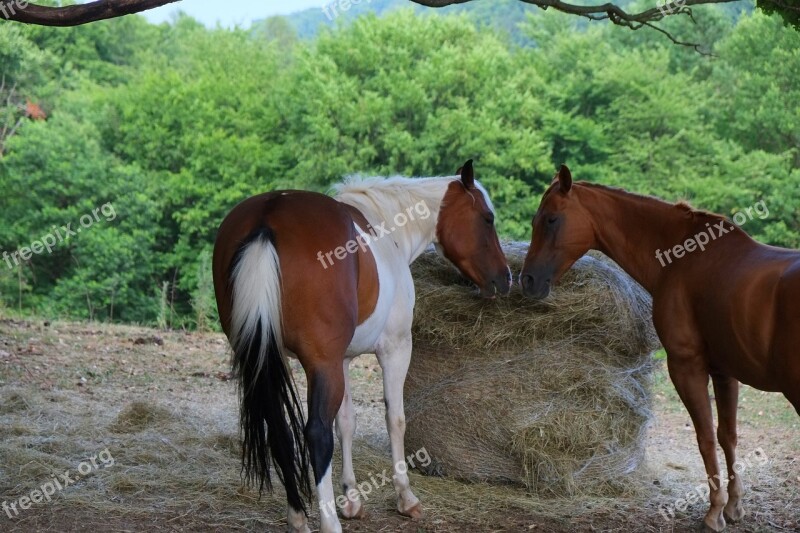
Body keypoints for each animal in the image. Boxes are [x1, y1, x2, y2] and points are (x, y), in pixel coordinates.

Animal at [212, 161, 510, 532]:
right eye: (487, 218)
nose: (505, 278)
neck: (388, 228)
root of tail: (268, 219)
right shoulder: (394, 349)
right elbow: (395, 419)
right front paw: (405, 498)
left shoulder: (341, 360)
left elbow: (347, 422)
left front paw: (352, 499)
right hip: (319, 364)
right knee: (316, 434)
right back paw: (327, 523)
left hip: (269, 360)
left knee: (279, 431)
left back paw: (297, 517)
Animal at [520, 165, 800, 528]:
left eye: (551, 219)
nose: (527, 280)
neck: (683, 258)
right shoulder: (724, 373)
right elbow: (727, 435)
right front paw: (734, 506)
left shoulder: (685, 366)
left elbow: (705, 438)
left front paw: (713, 512)